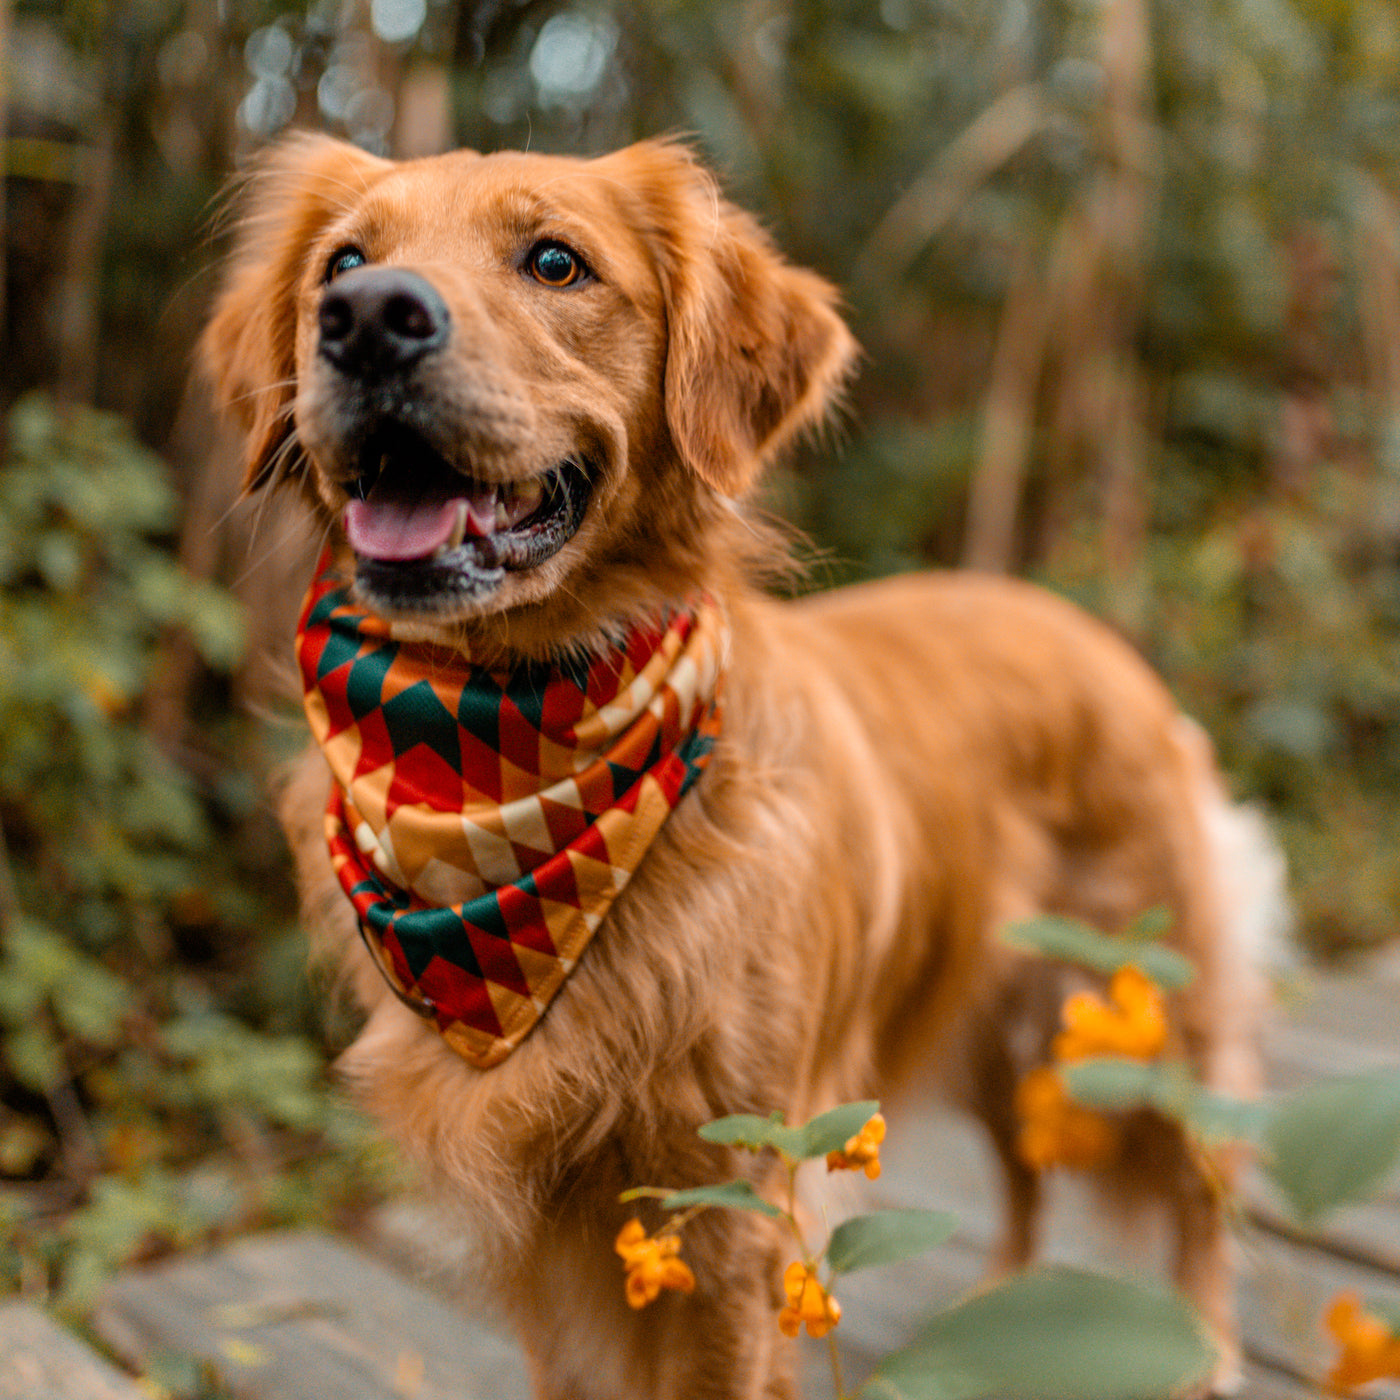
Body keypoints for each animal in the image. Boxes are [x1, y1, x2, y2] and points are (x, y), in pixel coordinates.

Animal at [204, 133, 1282, 1400]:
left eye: (555, 261)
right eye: (343, 261)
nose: (367, 317)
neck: (493, 748)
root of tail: (1088, 630)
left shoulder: (729, 1201)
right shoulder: (542, 1235)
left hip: (1145, 993)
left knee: (1204, 1177)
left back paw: (1203, 1344)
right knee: (1021, 1161)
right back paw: (996, 1308)